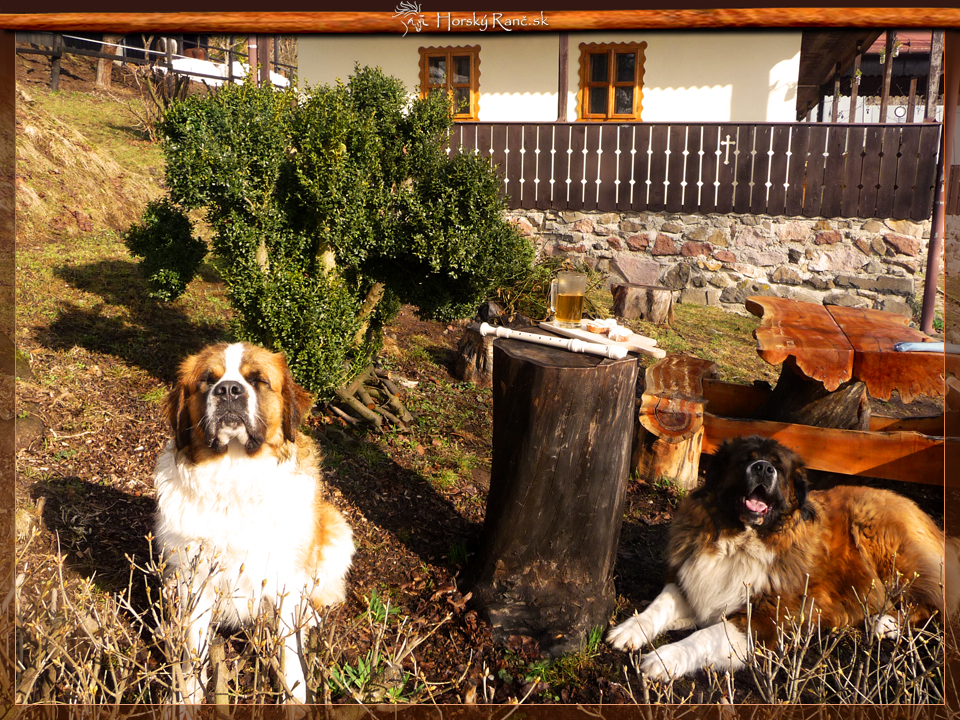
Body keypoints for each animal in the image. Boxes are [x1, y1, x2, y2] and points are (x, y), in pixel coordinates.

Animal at [153, 342, 354, 703]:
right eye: (208, 380)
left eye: (257, 380)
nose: (229, 390)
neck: (235, 476)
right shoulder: (196, 578)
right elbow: (194, 648)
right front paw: (188, 696)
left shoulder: (285, 579)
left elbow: (290, 648)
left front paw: (294, 696)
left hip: (336, 529)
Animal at [607, 435, 959, 681]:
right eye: (746, 460)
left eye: (778, 466)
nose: (763, 467)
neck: (741, 540)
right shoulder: (696, 581)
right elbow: (661, 604)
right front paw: (630, 629)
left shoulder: (766, 619)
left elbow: (703, 636)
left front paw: (663, 658)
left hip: (882, 540)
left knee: (930, 607)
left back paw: (885, 623)